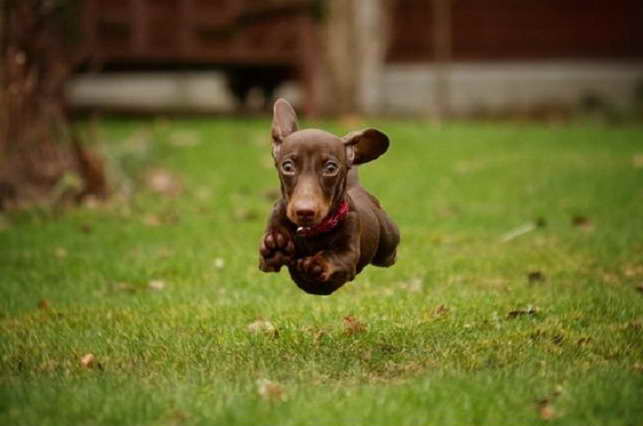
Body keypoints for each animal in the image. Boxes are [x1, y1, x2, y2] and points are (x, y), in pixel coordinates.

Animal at [260, 98, 400, 294]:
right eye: (287, 167)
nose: (304, 211)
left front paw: (316, 264)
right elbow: (268, 255)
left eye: (331, 168)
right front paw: (276, 246)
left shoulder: (348, 256)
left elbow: (336, 258)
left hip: (387, 244)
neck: (311, 232)